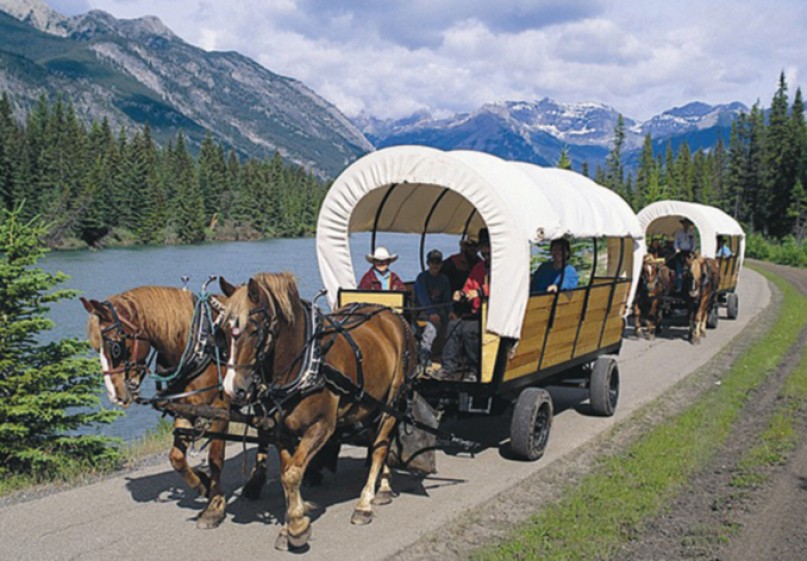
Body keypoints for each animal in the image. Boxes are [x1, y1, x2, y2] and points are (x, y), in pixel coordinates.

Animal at [82, 286, 246, 528]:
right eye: (95, 348)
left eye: (115, 347)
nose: (115, 395)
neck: (201, 346)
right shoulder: (185, 408)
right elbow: (176, 458)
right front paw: (203, 485)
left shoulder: (220, 410)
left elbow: (215, 459)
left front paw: (214, 507)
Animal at [219, 274, 416, 548]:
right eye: (223, 331)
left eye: (254, 330)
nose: (232, 388)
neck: (308, 364)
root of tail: (391, 314)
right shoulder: (281, 431)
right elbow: (288, 472)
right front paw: (293, 519)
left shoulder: (322, 426)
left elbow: (292, 474)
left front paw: (297, 527)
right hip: (372, 404)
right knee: (380, 444)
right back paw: (384, 485)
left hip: (393, 400)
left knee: (380, 448)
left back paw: (365, 503)